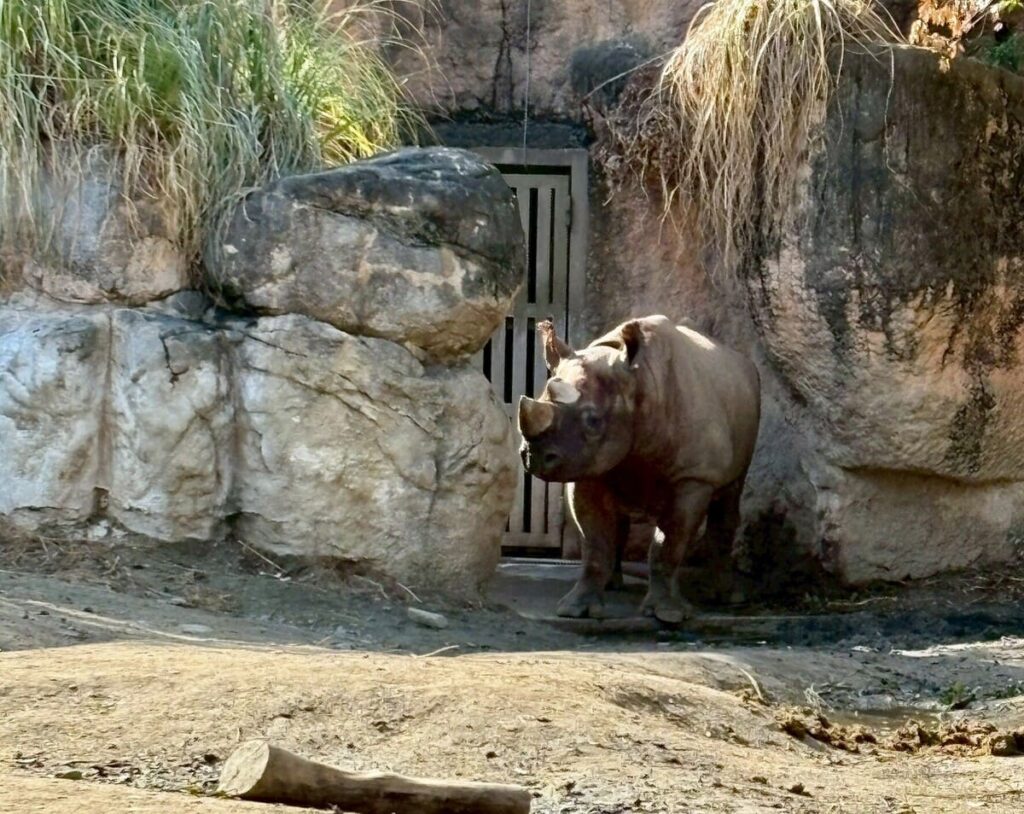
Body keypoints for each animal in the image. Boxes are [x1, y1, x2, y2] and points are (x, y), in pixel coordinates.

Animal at [517, 315, 761, 623]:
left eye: (593, 421)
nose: (533, 456)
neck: (635, 382)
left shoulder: (694, 477)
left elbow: (670, 542)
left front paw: (667, 614)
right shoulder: (587, 464)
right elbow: (595, 542)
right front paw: (576, 609)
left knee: (727, 503)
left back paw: (727, 599)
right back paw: (613, 585)